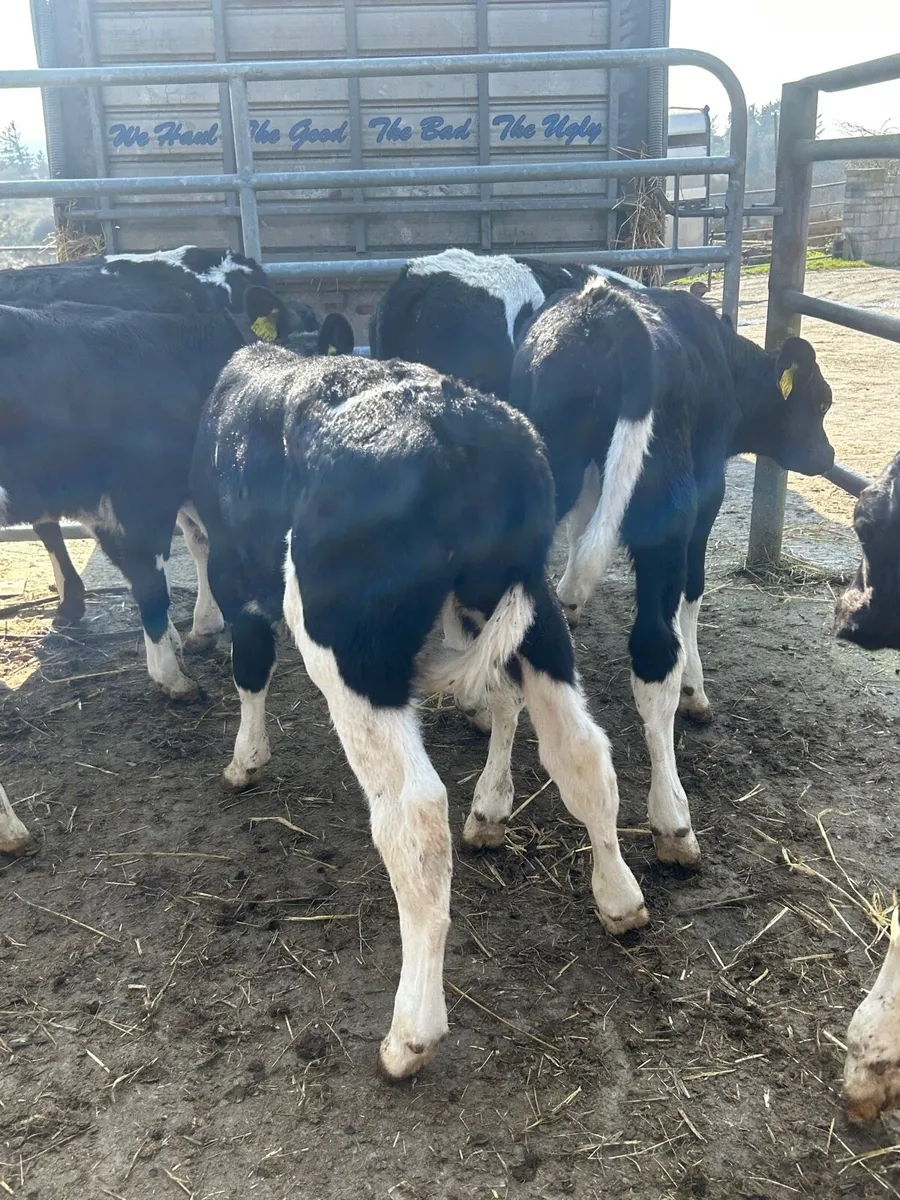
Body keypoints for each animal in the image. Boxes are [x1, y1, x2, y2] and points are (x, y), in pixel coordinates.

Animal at [190, 345, 649, 1077]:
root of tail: (460, 422)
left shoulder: (238, 570)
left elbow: (251, 664)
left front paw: (245, 761)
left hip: (349, 642)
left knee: (414, 815)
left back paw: (410, 1033)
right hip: (532, 612)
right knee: (581, 753)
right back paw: (619, 897)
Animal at [506, 275, 835, 868]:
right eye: (820, 400)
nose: (829, 456)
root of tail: (606, 310)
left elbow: (582, 534)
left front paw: (574, 605)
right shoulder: (707, 494)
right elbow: (693, 594)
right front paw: (695, 690)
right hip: (667, 507)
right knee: (654, 650)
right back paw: (673, 822)